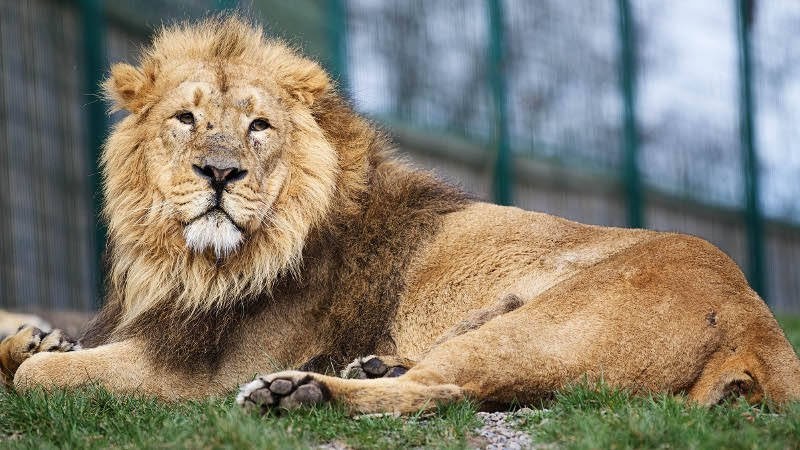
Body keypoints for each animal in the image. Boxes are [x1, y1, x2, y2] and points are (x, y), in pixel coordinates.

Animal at [2, 17, 799, 414]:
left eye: (259, 126)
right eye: (185, 119)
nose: (220, 173)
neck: (186, 262)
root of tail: (759, 320)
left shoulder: (203, 370)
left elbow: (37, 379)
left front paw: (44, 356)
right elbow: (27, 355)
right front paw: (37, 336)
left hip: (545, 329)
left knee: (444, 393)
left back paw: (299, 395)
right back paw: (365, 366)